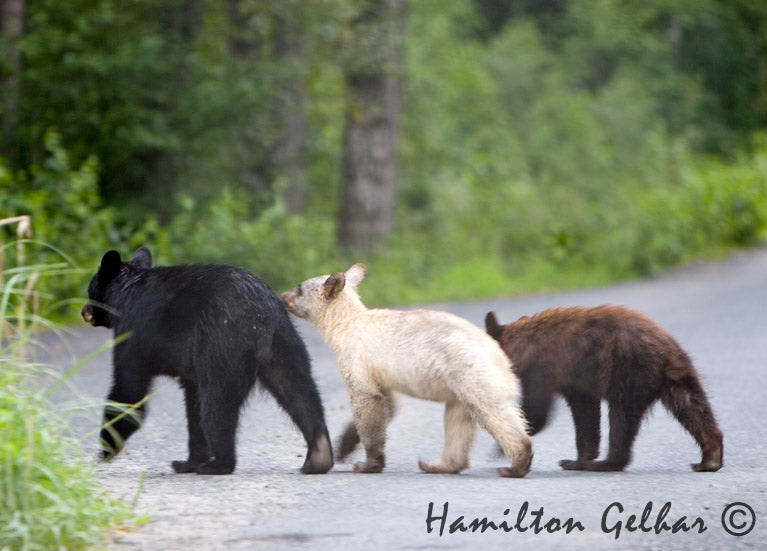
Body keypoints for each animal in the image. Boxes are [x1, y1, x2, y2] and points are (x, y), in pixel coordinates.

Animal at [81, 246, 333, 475]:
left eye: (90, 290)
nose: (84, 311)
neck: (128, 293)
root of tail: (259, 318)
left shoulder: (134, 334)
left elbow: (129, 391)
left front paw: (105, 450)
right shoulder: (189, 368)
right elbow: (193, 405)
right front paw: (190, 461)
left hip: (221, 346)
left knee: (216, 403)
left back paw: (218, 464)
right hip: (285, 345)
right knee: (298, 390)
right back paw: (319, 457)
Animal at [281, 263, 533, 478]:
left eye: (300, 287)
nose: (282, 296)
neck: (346, 323)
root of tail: (501, 358)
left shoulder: (359, 358)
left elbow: (367, 402)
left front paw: (366, 463)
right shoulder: (379, 371)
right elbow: (387, 404)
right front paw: (345, 447)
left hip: (470, 371)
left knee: (491, 412)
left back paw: (516, 463)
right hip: (461, 383)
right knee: (458, 420)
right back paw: (438, 465)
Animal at [485, 306, 723, 472]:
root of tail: (667, 350)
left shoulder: (542, 371)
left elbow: (538, 411)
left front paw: (502, 446)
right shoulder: (576, 383)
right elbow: (586, 414)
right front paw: (578, 460)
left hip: (629, 371)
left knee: (622, 418)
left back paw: (608, 462)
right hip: (676, 378)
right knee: (692, 406)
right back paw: (710, 457)